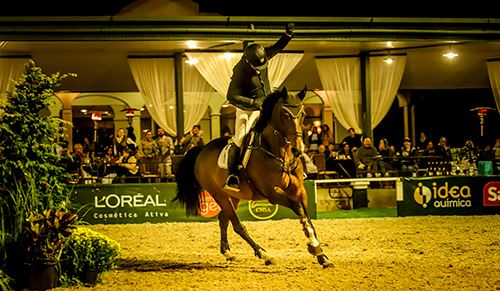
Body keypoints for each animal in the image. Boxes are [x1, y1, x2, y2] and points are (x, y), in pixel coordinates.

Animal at [174, 86, 334, 270]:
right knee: (237, 225)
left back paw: (228, 253)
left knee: (223, 219)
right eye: (285, 114)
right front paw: (314, 246)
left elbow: (307, 217)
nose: (298, 148)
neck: (281, 152)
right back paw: (265, 254)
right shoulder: (273, 193)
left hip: (235, 196)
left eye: (303, 115)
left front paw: (322, 255)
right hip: (219, 194)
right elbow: (299, 209)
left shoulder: (299, 191)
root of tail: (201, 149)